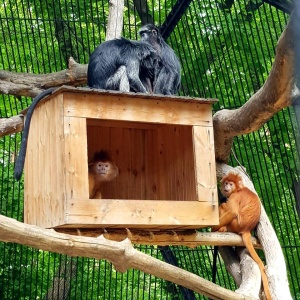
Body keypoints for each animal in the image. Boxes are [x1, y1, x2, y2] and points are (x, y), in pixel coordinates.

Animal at [211, 171, 272, 300]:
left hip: (234, 225)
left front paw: (213, 227)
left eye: (230, 184)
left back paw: (221, 228)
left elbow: (232, 212)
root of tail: (246, 230)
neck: (239, 189)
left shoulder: (234, 196)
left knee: (224, 206)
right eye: (226, 183)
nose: (227, 187)